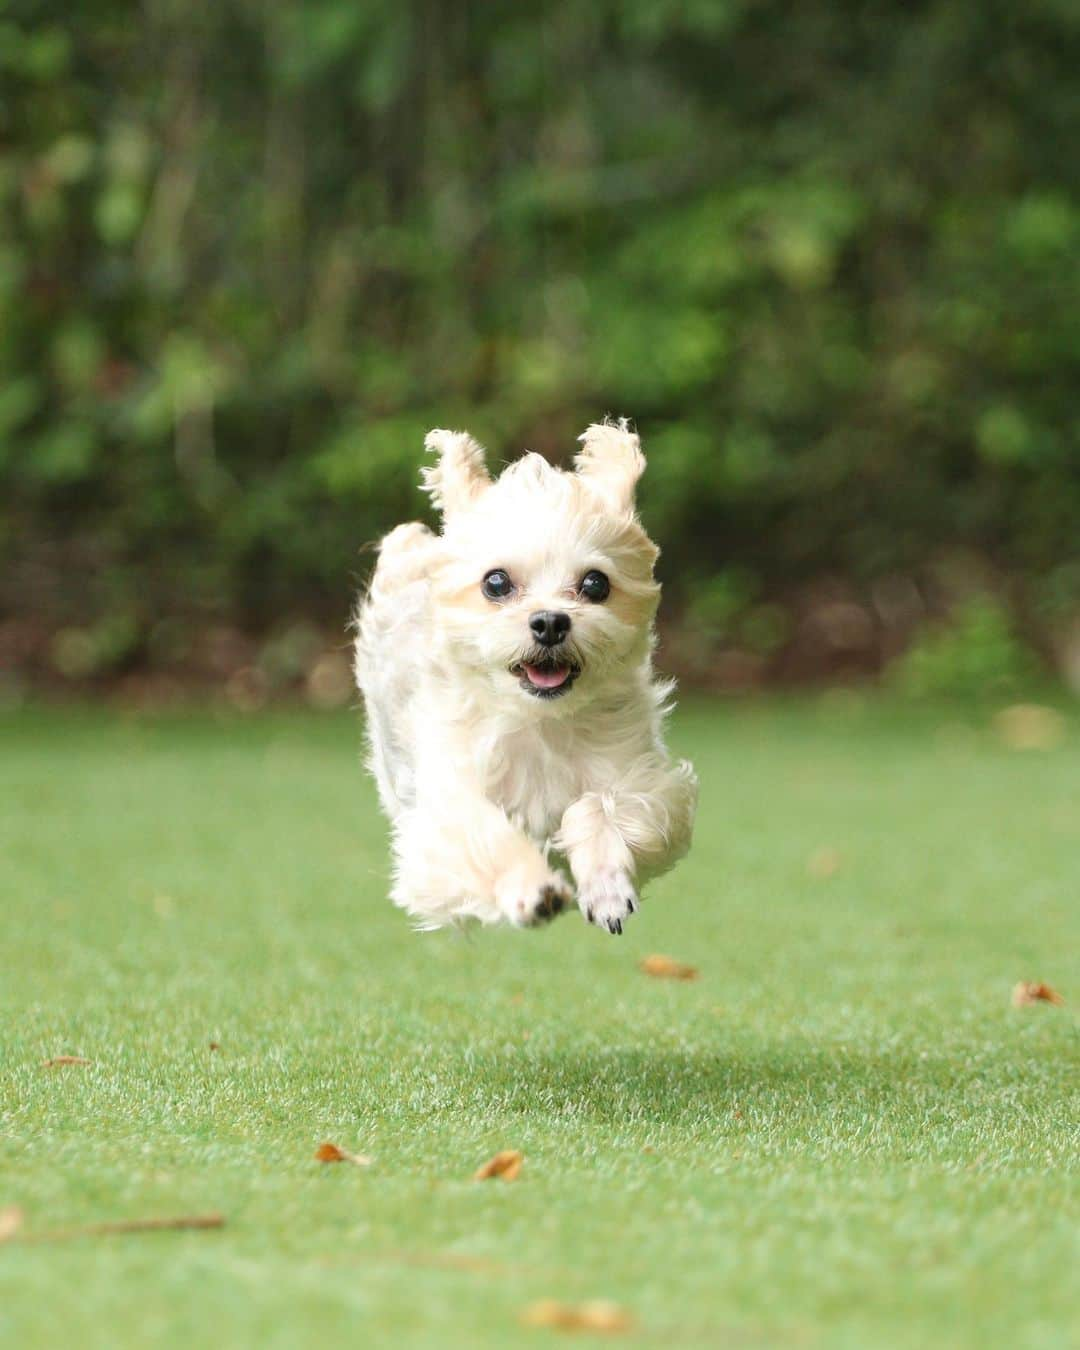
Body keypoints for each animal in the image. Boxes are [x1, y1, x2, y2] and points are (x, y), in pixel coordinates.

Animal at [351, 418, 696, 928]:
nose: (550, 621)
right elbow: (483, 836)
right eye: (496, 582)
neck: (539, 722)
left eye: (596, 583)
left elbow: (600, 808)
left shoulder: (639, 779)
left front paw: (607, 888)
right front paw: (532, 890)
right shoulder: (445, 811)